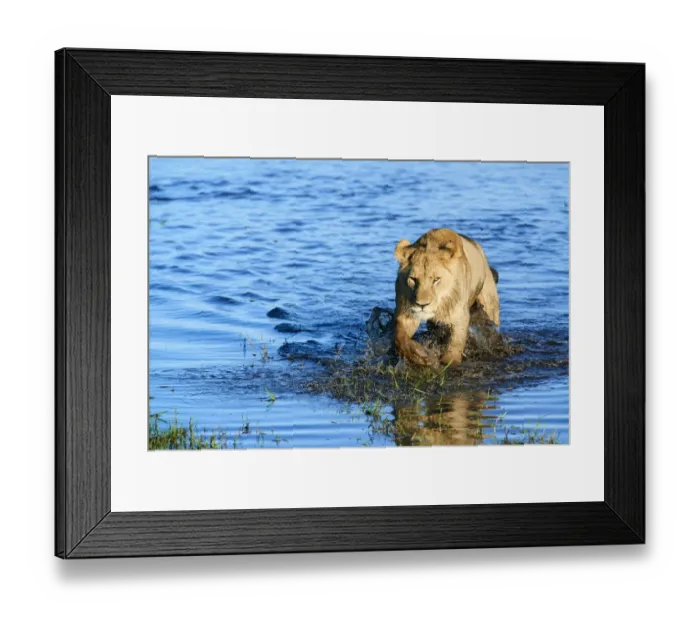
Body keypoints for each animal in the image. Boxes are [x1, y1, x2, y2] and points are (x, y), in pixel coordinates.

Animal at [393, 228, 500, 366]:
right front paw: (418, 355)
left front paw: (449, 362)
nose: (422, 305)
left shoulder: (459, 315)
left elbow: (455, 346)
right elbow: (399, 338)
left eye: (436, 280)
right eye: (413, 279)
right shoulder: (406, 313)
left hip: (490, 304)